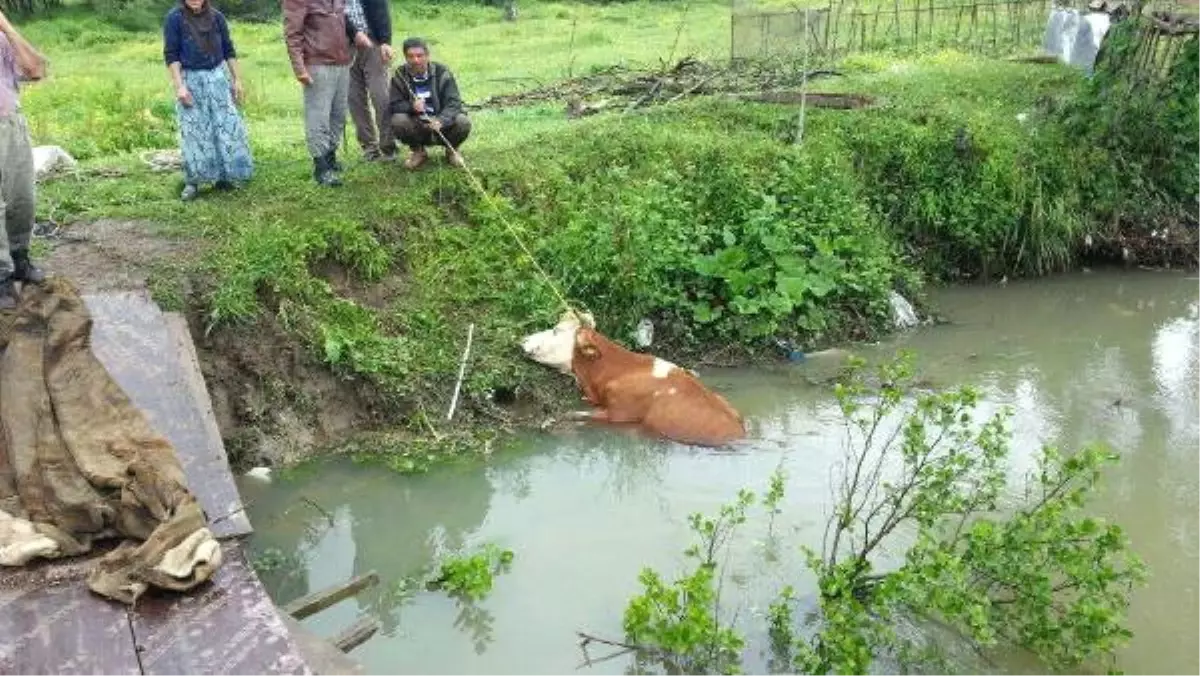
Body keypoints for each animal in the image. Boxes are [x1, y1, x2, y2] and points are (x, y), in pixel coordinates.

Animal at [518, 312, 744, 449]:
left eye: (556, 330)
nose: (523, 339)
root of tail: (741, 434)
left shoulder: (617, 415)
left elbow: (572, 414)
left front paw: (548, 422)